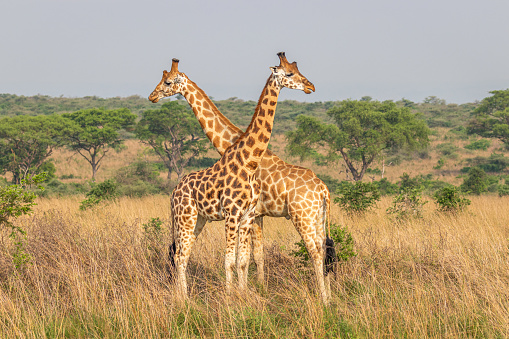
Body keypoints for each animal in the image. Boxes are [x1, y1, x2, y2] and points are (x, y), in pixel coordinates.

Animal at [148, 52, 314, 298]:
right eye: (290, 73)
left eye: (167, 82)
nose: (311, 86)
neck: (248, 160)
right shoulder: (235, 214)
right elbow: (234, 260)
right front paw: (232, 296)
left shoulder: (247, 215)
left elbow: (243, 260)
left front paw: (243, 294)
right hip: (187, 218)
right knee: (179, 256)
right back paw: (183, 298)